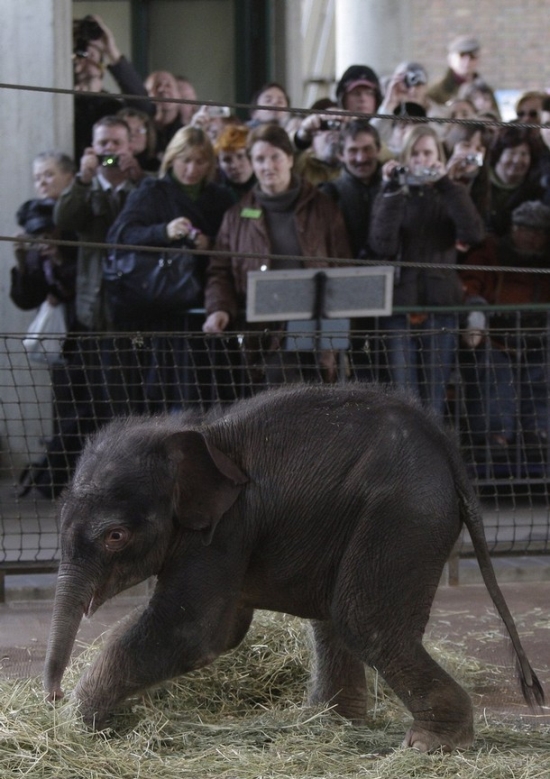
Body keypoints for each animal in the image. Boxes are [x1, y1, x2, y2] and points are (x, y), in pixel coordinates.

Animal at [45, 384, 544, 748]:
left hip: (404, 514)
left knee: (366, 622)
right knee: (337, 616)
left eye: (115, 536)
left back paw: (429, 744)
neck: (195, 434)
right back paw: (329, 723)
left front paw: (81, 718)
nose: (51, 695)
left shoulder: (226, 531)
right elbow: (214, 630)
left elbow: (195, 632)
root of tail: (448, 449)